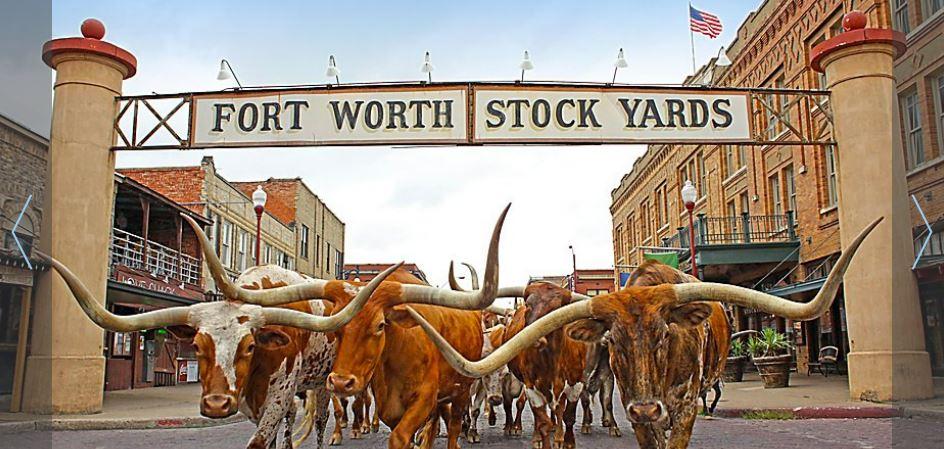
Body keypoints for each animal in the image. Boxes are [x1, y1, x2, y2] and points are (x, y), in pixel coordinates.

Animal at [410, 217, 880, 448]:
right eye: (528, 305)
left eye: (665, 335)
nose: (536, 332)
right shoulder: (541, 390)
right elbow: (541, 422)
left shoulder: (676, 406)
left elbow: (571, 417)